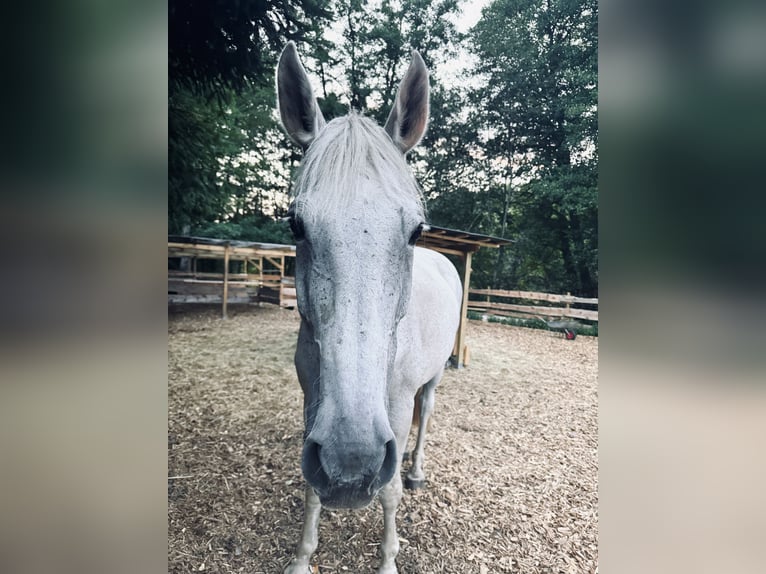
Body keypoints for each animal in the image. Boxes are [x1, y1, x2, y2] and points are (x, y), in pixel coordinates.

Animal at [278, 41, 462, 574]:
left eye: (416, 230)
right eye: (295, 225)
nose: (351, 464)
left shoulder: (395, 411)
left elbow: (391, 492)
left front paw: (387, 561)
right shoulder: (313, 399)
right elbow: (312, 489)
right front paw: (302, 558)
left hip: (432, 379)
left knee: (427, 414)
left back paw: (418, 470)